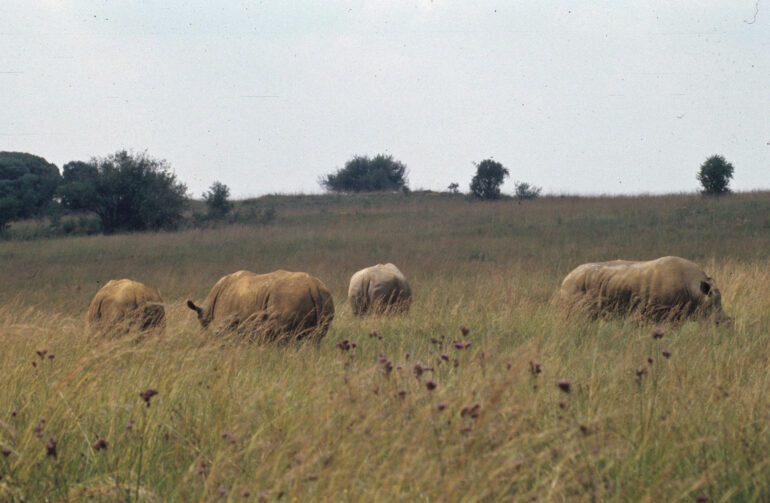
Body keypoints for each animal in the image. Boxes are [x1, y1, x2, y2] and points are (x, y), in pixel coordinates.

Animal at [186, 270, 335, 341]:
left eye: (202, 323)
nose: (202, 336)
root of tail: (313, 286)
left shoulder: (226, 322)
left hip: (290, 299)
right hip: (326, 297)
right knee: (316, 338)